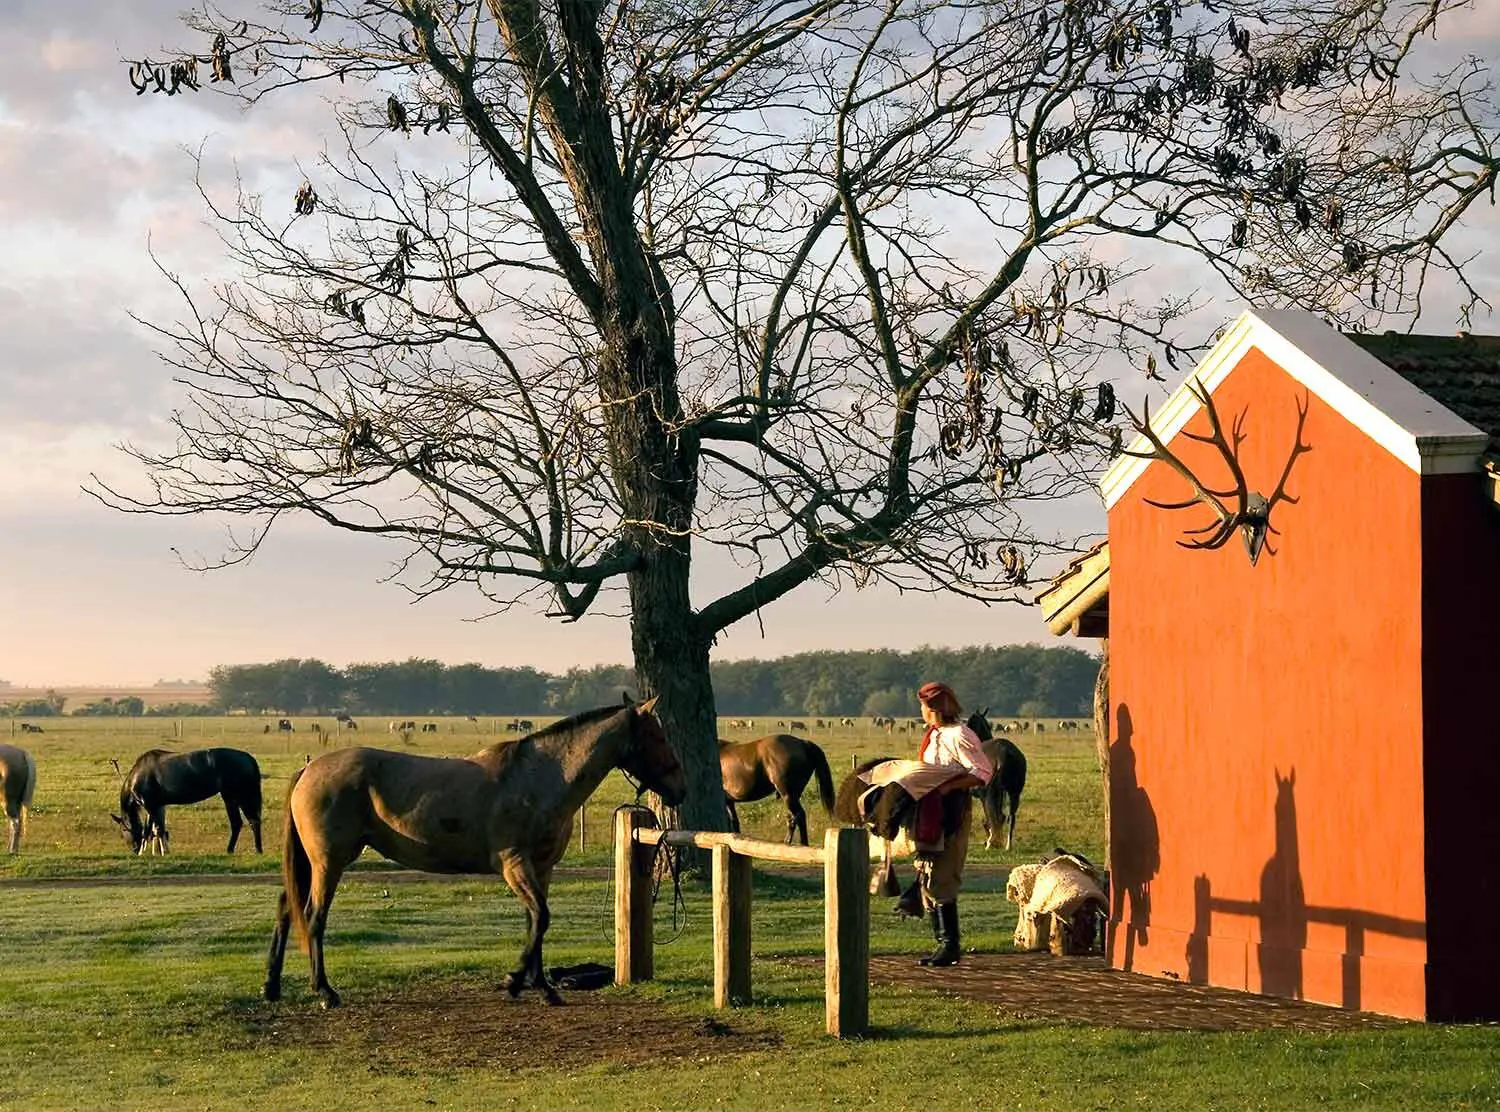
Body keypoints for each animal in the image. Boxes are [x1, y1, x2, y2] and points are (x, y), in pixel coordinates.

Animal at [110, 750, 264, 852]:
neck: (137, 776)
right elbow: (153, 829)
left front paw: (161, 852)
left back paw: (254, 849)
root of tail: (249, 758)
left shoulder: (150, 805)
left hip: (239, 796)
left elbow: (155, 829)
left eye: (123, 829)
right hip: (232, 798)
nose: (134, 850)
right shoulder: (156, 806)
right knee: (242, 822)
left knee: (250, 821)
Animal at [264, 693, 687, 1008]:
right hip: (329, 863)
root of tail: (309, 769)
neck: (539, 778)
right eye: (658, 736)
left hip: (313, 864)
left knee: (286, 909)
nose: (680, 788)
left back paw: (272, 987)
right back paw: (325, 992)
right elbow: (541, 918)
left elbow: (536, 922)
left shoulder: (542, 868)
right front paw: (515, 981)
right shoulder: (515, 865)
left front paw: (541, 987)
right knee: (313, 917)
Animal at [966, 711, 1026, 852]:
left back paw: (991, 842)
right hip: (1013, 793)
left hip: (991, 793)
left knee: (997, 816)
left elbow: (988, 818)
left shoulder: (982, 796)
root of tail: (1004, 753)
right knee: (1010, 817)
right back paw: (1008, 845)